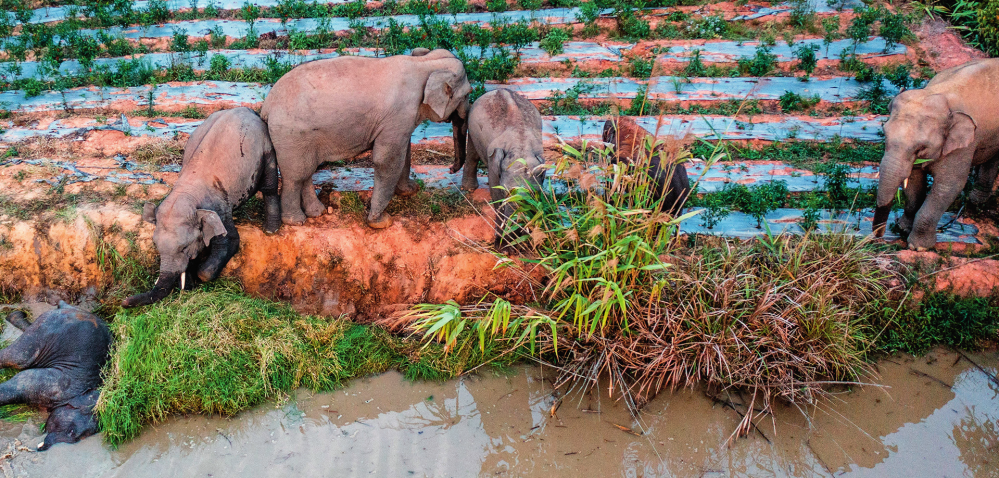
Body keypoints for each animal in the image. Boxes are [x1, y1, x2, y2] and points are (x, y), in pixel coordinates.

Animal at [126, 107, 282, 308]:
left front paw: (200, 276)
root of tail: (247, 109)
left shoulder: (219, 207)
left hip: (266, 147)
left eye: (184, 247)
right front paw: (189, 284)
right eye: (155, 246)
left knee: (269, 186)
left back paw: (271, 229)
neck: (186, 190)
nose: (124, 301)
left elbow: (230, 240)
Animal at [454, 88, 548, 248]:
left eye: (532, 194)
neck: (520, 146)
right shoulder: (493, 164)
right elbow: (496, 194)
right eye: (505, 192)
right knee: (473, 154)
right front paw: (503, 245)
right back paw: (469, 189)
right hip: (473, 129)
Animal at [872, 58, 999, 250]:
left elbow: (948, 185)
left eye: (921, 147)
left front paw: (919, 247)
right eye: (885, 135)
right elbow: (914, 181)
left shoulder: (963, 146)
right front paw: (903, 229)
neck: (938, 94)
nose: (877, 238)